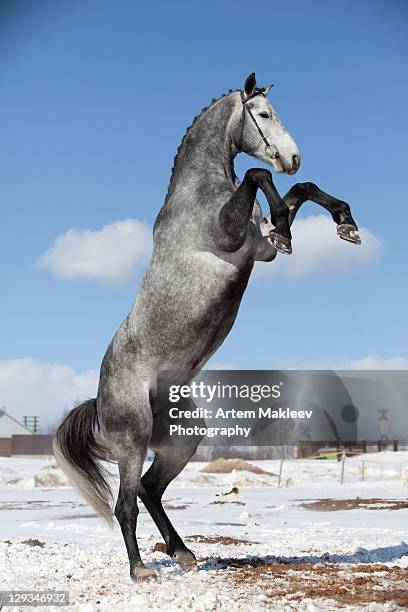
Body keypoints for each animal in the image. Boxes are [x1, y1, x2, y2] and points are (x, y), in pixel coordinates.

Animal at [53, 71, 360, 580]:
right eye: (263, 115)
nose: (293, 158)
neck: (200, 191)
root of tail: (99, 400)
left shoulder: (260, 249)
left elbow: (301, 192)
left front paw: (344, 223)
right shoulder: (234, 237)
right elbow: (259, 176)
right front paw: (294, 223)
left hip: (182, 439)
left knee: (149, 489)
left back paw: (183, 554)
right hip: (133, 439)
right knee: (125, 502)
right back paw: (141, 571)